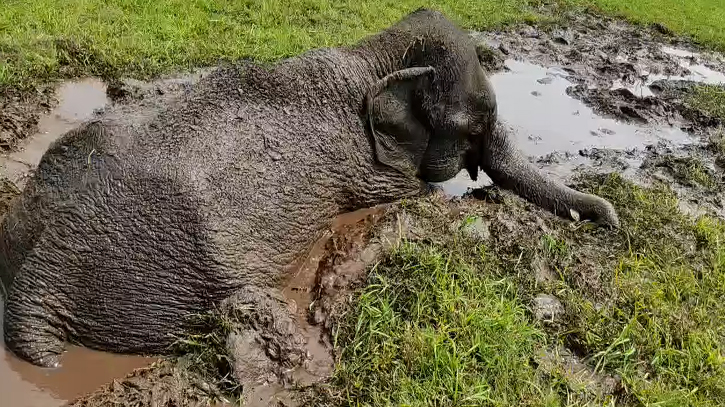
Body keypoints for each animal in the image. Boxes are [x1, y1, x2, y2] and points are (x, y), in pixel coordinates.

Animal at [0, 7, 616, 372]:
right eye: (475, 126)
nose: (609, 220)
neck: (373, 53)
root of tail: (32, 283)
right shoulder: (366, 167)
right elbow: (414, 191)